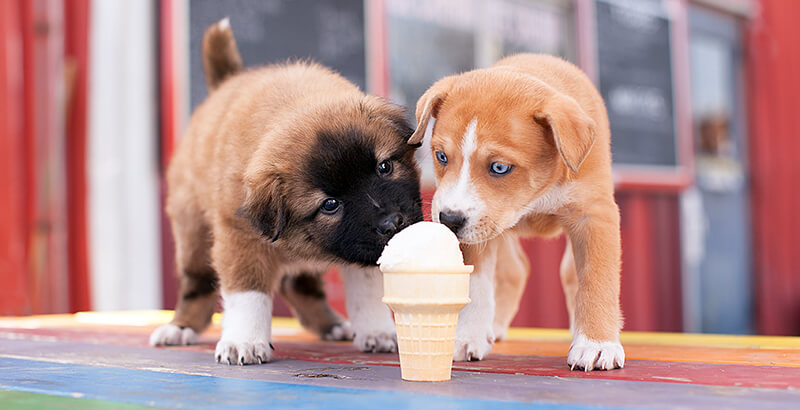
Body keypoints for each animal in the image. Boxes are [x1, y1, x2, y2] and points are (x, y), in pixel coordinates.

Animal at [152, 20, 424, 366]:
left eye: (384, 167)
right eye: (330, 205)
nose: (392, 224)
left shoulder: (364, 248)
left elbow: (367, 292)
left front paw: (377, 331)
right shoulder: (241, 239)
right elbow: (248, 294)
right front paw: (244, 341)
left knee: (299, 284)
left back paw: (331, 324)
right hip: (193, 234)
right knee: (196, 285)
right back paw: (180, 328)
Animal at [412, 54, 624, 372]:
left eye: (500, 167)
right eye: (441, 157)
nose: (448, 220)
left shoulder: (595, 216)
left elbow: (596, 280)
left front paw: (596, 344)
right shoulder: (478, 230)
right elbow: (476, 285)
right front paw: (468, 337)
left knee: (567, 274)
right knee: (514, 271)